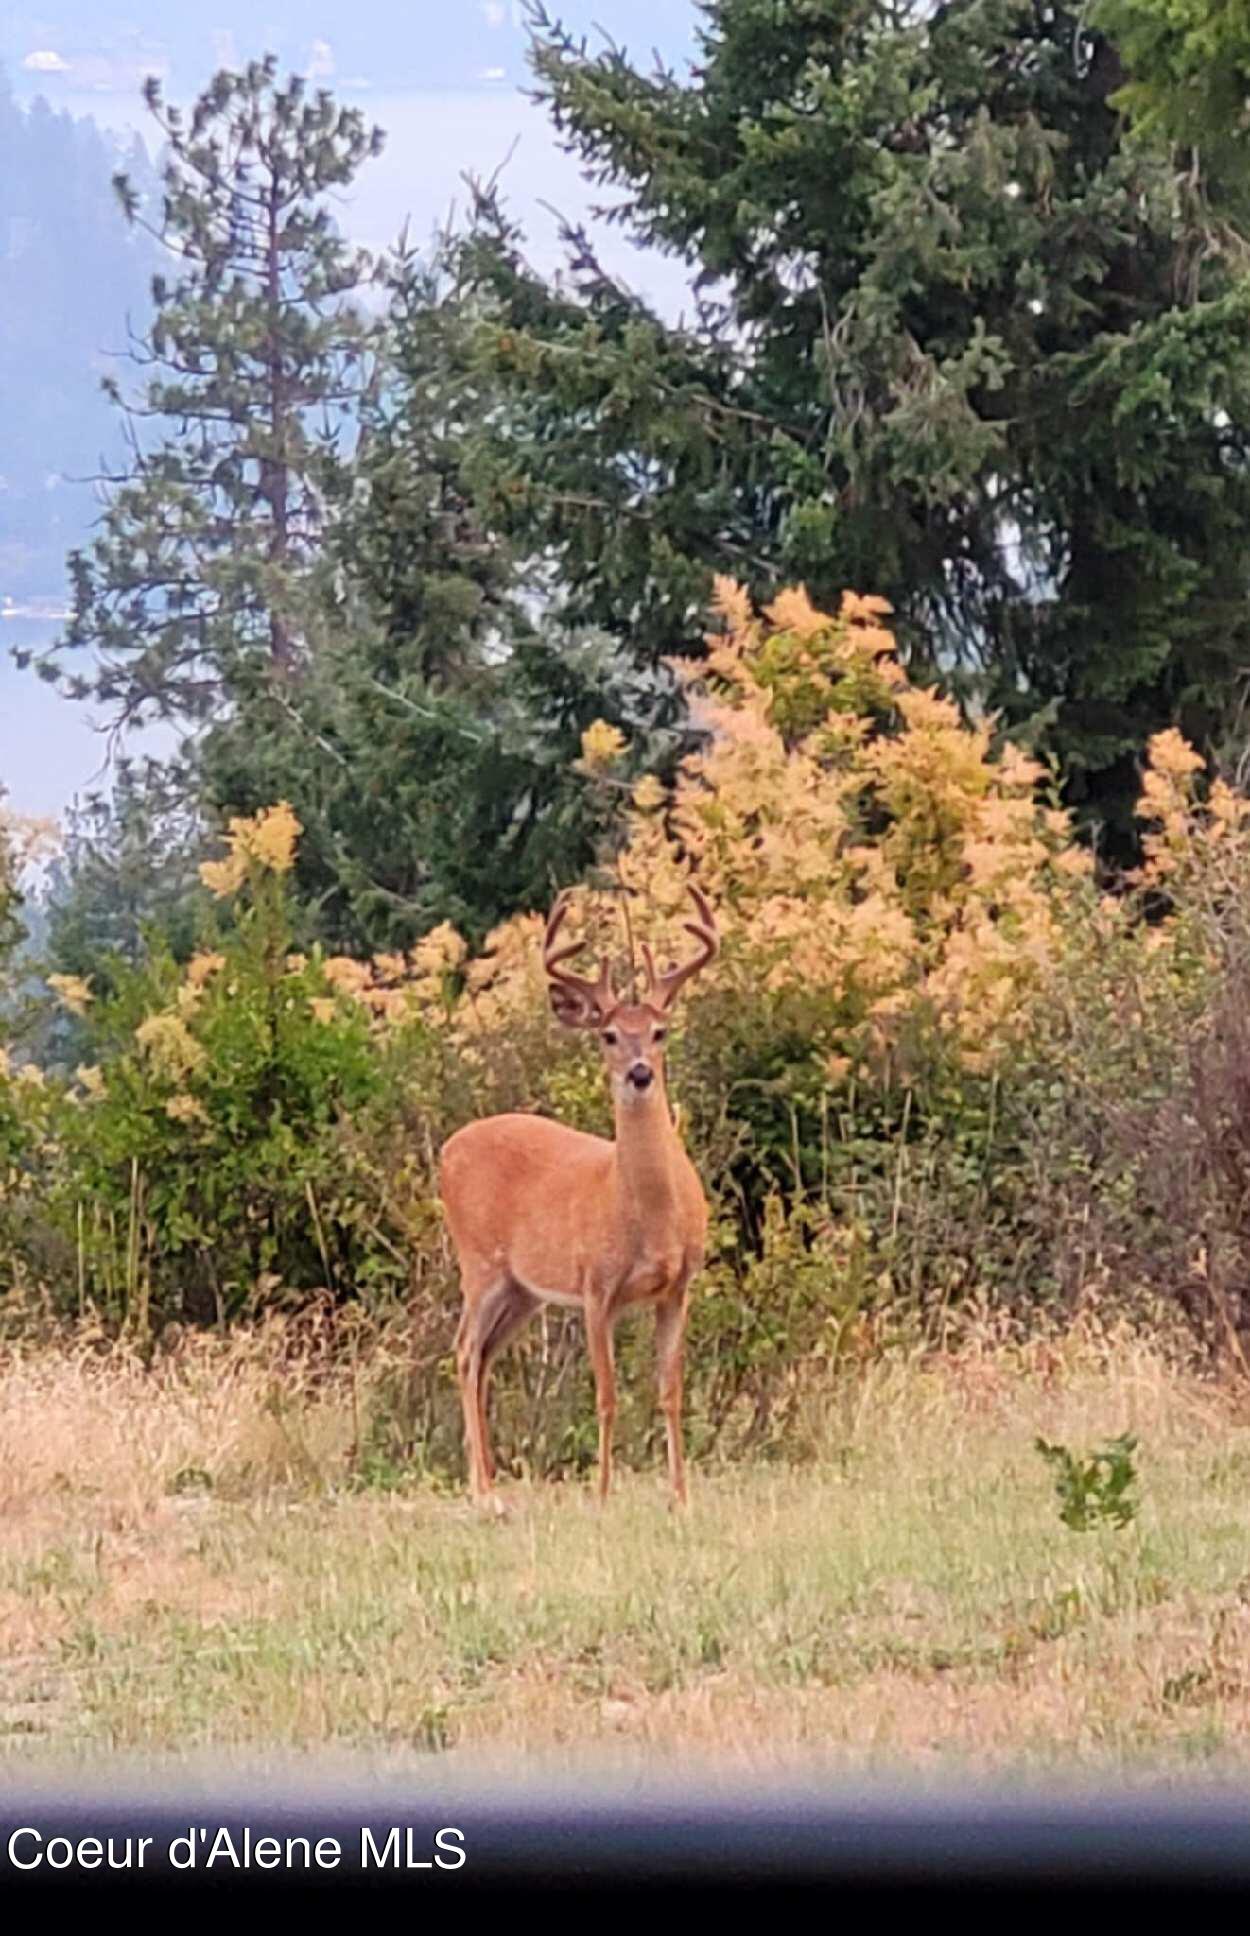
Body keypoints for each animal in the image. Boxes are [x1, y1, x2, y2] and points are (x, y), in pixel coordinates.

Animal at [441, 886, 719, 1502]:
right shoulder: (596, 1286)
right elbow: (608, 1394)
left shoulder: (678, 1286)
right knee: (465, 1351)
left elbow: (671, 1391)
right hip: (479, 1263)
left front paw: (680, 1497)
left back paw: (485, 1479)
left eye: (660, 1031)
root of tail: (447, 1148)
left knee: (483, 1355)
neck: (648, 1216)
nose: (639, 1073)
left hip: (523, 1289)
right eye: (608, 1034)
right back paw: (485, 1491)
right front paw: (603, 1493)